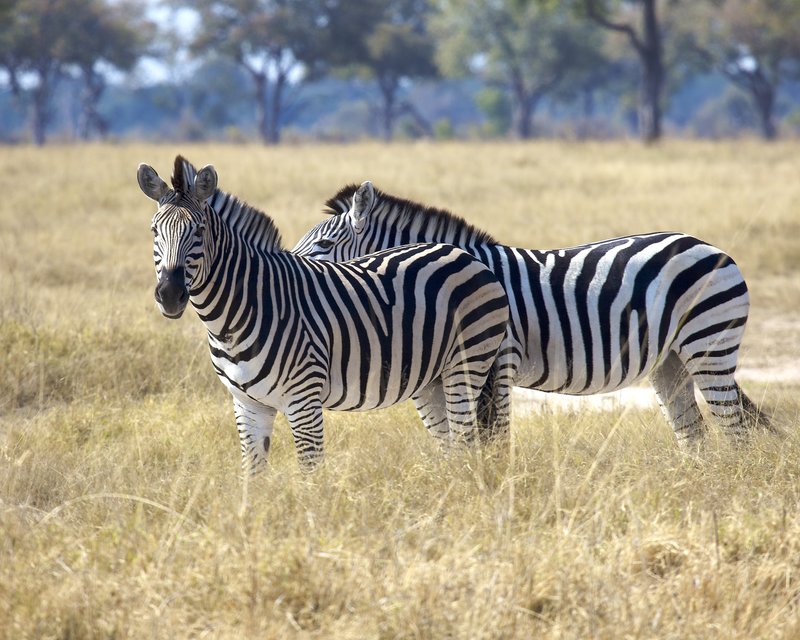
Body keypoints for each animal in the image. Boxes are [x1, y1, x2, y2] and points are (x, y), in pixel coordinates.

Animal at [136, 157, 510, 471]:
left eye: (199, 231)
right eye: (153, 231)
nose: (170, 295)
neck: (237, 312)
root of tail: (466, 255)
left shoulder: (303, 399)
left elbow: (310, 473)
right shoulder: (247, 404)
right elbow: (252, 474)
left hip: (466, 365)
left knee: (465, 440)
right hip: (433, 380)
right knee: (454, 444)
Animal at [292, 181, 768, 448]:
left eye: (324, 247)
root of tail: (708, 246)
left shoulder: (497, 359)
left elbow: (494, 437)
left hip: (709, 343)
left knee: (734, 430)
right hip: (669, 359)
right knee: (695, 432)